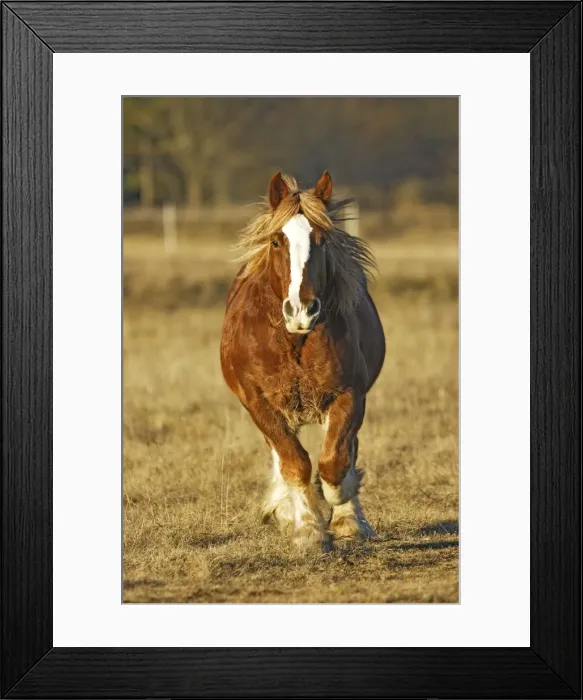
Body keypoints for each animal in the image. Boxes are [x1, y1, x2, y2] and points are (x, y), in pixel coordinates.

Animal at [220, 171, 386, 551]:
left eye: (322, 239)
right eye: (276, 242)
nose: (301, 310)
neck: (293, 339)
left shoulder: (349, 395)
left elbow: (335, 461)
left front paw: (342, 508)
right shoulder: (260, 402)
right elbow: (294, 462)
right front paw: (307, 529)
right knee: (282, 457)